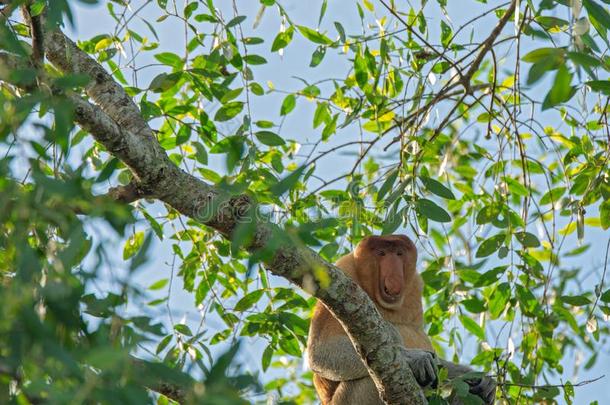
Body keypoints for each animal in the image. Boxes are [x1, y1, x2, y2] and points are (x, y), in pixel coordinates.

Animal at [304, 234, 494, 404]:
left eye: (399, 253)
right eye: (381, 253)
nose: (393, 273)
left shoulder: (415, 284)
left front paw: (481, 380)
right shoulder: (342, 271)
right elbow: (321, 352)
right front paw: (414, 359)